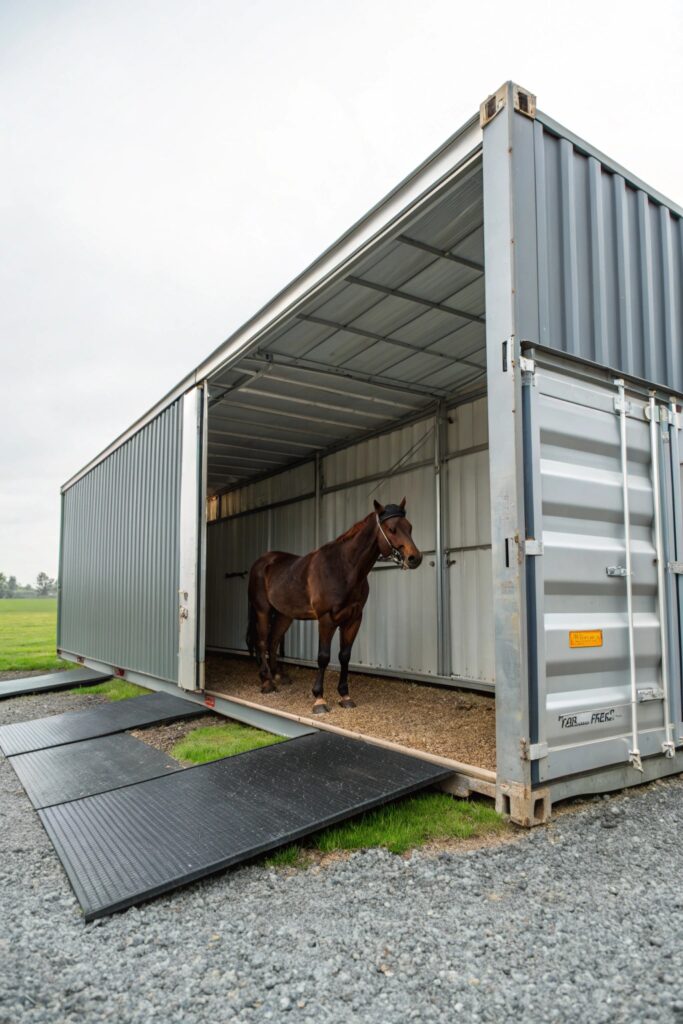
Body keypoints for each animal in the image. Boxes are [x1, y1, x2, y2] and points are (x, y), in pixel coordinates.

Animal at [245, 498, 422, 714]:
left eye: (409, 527)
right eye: (392, 528)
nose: (415, 558)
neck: (343, 568)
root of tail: (262, 562)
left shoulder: (353, 619)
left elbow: (344, 656)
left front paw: (345, 696)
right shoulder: (326, 619)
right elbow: (323, 657)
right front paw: (319, 699)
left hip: (284, 614)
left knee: (273, 641)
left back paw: (278, 676)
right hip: (262, 610)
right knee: (262, 642)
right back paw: (267, 682)